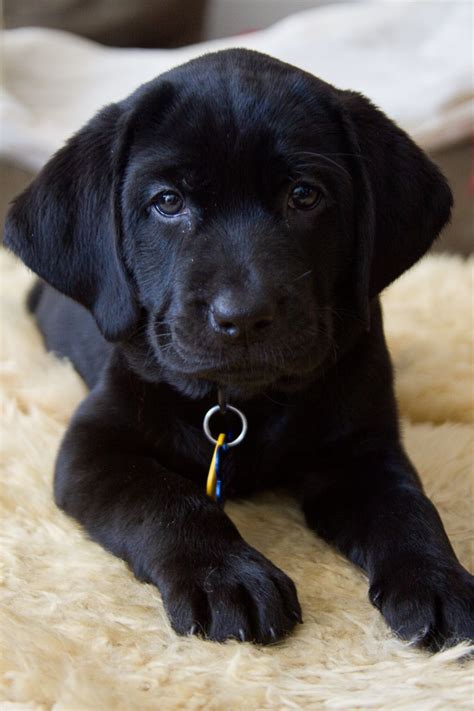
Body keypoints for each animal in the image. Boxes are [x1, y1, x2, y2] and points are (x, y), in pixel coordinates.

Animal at [4, 48, 474, 652]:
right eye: (168, 202)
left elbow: (409, 507)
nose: (244, 316)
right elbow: (169, 500)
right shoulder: (93, 446)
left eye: (304, 195)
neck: (242, 405)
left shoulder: (364, 447)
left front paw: (438, 581)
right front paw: (227, 577)